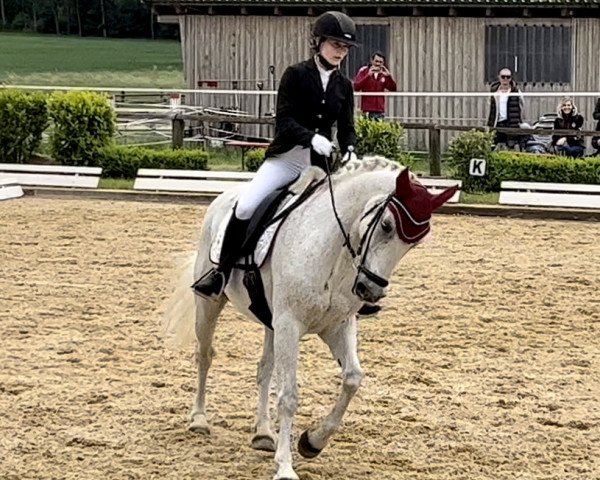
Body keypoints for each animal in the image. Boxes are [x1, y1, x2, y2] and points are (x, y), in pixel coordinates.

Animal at [162, 156, 458, 478]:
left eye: (414, 244)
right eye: (386, 225)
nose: (371, 291)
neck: (331, 251)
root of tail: (223, 197)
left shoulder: (336, 326)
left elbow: (352, 379)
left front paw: (312, 441)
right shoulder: (290, 325)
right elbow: (289, 395)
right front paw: (285, 466)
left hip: (271, 323)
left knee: (264, 369)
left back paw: (263, 432)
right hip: (210, 305)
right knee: (205, 356)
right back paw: (199, 420)